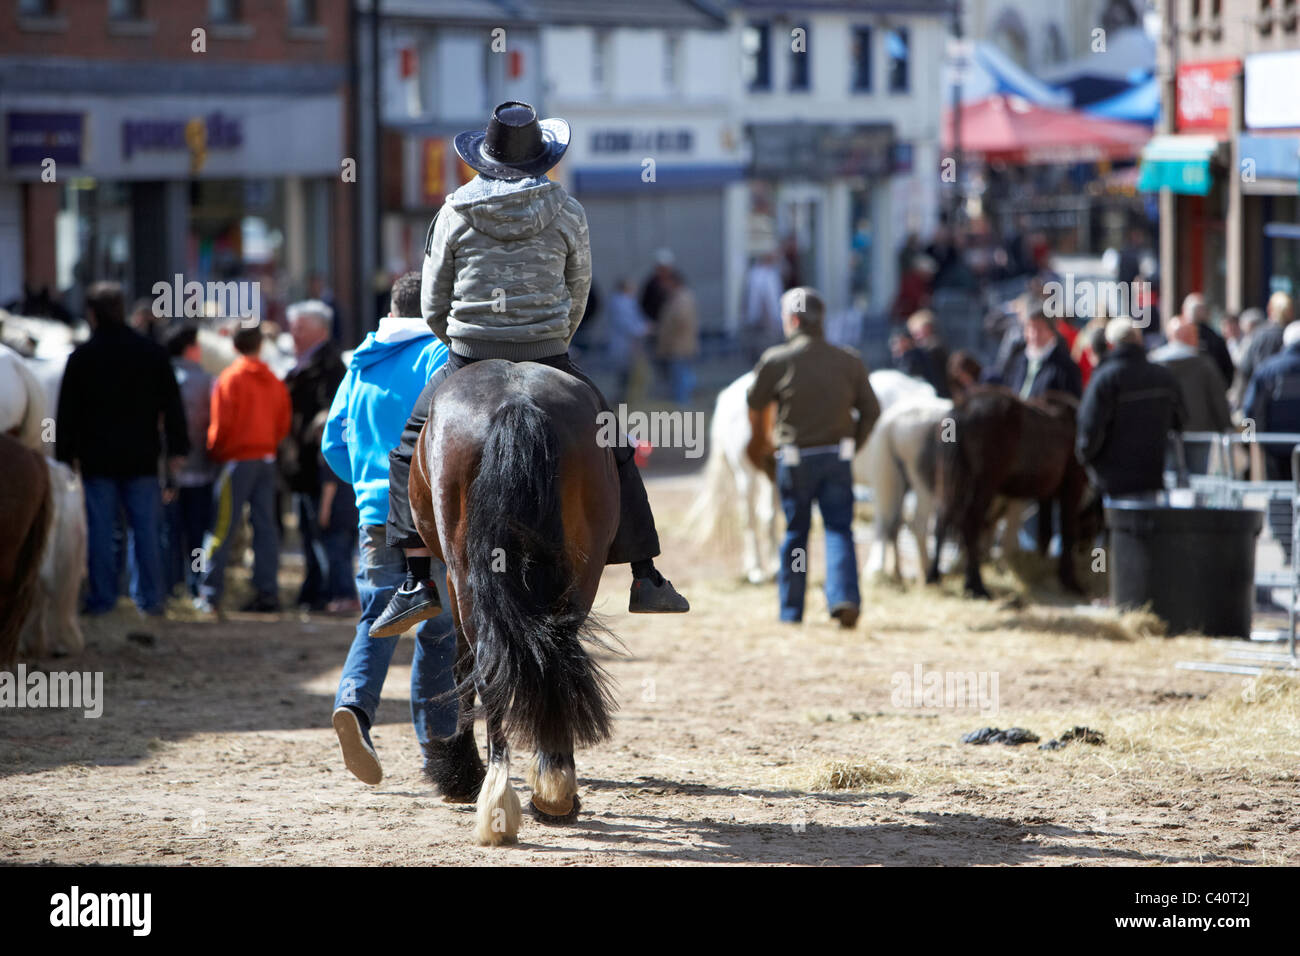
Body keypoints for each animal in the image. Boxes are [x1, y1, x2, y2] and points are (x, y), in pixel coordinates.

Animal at [413, 361, 621, 842]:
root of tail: (517, 402)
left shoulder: (451, 577)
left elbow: (462, 665)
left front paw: (457, 770)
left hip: (467, 574)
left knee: (491, 670)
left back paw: (499, 797)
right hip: (580, 570)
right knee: (557, 658)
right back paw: (554, 789)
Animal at [691, 366, 935, 582]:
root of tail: (728, 394)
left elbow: (896, 522)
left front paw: (897, 572)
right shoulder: (884, 477)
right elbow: (885, 522)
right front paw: (878, 569)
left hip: (772, 473)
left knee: (766, 516)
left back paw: (775, 567)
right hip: (746, 472)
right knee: (748, 518)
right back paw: (756, 570)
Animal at [930, 387, 1092, 598]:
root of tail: (964, 407)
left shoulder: (1047, 496)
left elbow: (1045, 532)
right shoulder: (1072, 486)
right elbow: (1067, 531)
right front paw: (1070, 581)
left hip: (950, 479)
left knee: (943, 518)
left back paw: (934, 576)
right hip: (984, 483)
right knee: (970, 523)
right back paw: (976, 584)